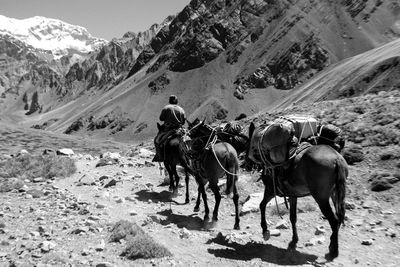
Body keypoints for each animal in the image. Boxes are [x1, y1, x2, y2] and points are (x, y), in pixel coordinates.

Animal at [244, 122, 346, 260]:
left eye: (247, 143)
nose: (246, 162)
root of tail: (337, 159)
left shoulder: (270, 190)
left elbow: (262, 205)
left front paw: (265, 230)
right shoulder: (292, 195)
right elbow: (293, 217)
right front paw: (293, 241)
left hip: (321, 198)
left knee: (334, 220)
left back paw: (333, 252)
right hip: (335, 194)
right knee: (339, 217)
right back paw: (331, 246)